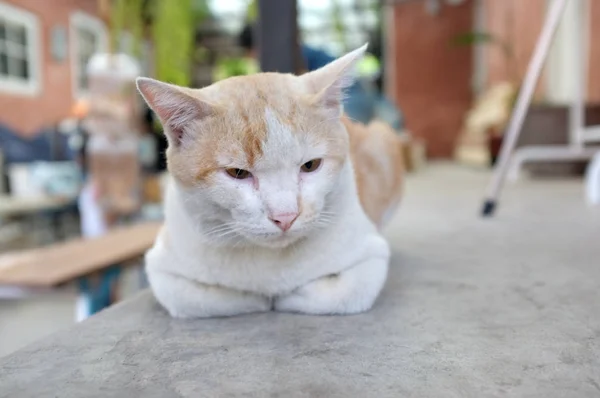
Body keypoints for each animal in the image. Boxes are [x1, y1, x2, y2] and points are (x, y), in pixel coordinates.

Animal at [138, 44, 406, 318]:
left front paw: (286, 296)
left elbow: (342, 293)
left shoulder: (371, 255)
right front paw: (258, 297)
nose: (285, 217)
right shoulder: (162, 267)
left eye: (310, 165)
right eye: (238, 173)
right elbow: (202, 298)